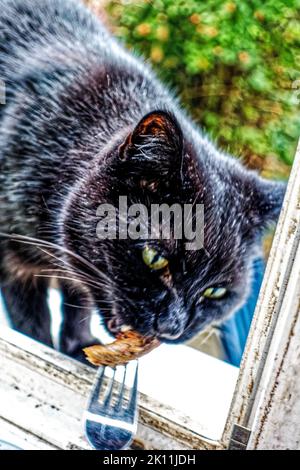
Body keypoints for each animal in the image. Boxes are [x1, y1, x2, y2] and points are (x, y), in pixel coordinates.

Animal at [0, 0, 284, 360]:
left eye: (216, 292)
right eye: (154, 257)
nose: (172, 328)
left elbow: (78, 300)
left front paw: (78, 345)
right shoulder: (15, 260)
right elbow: (32, 325)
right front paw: (46, 349)